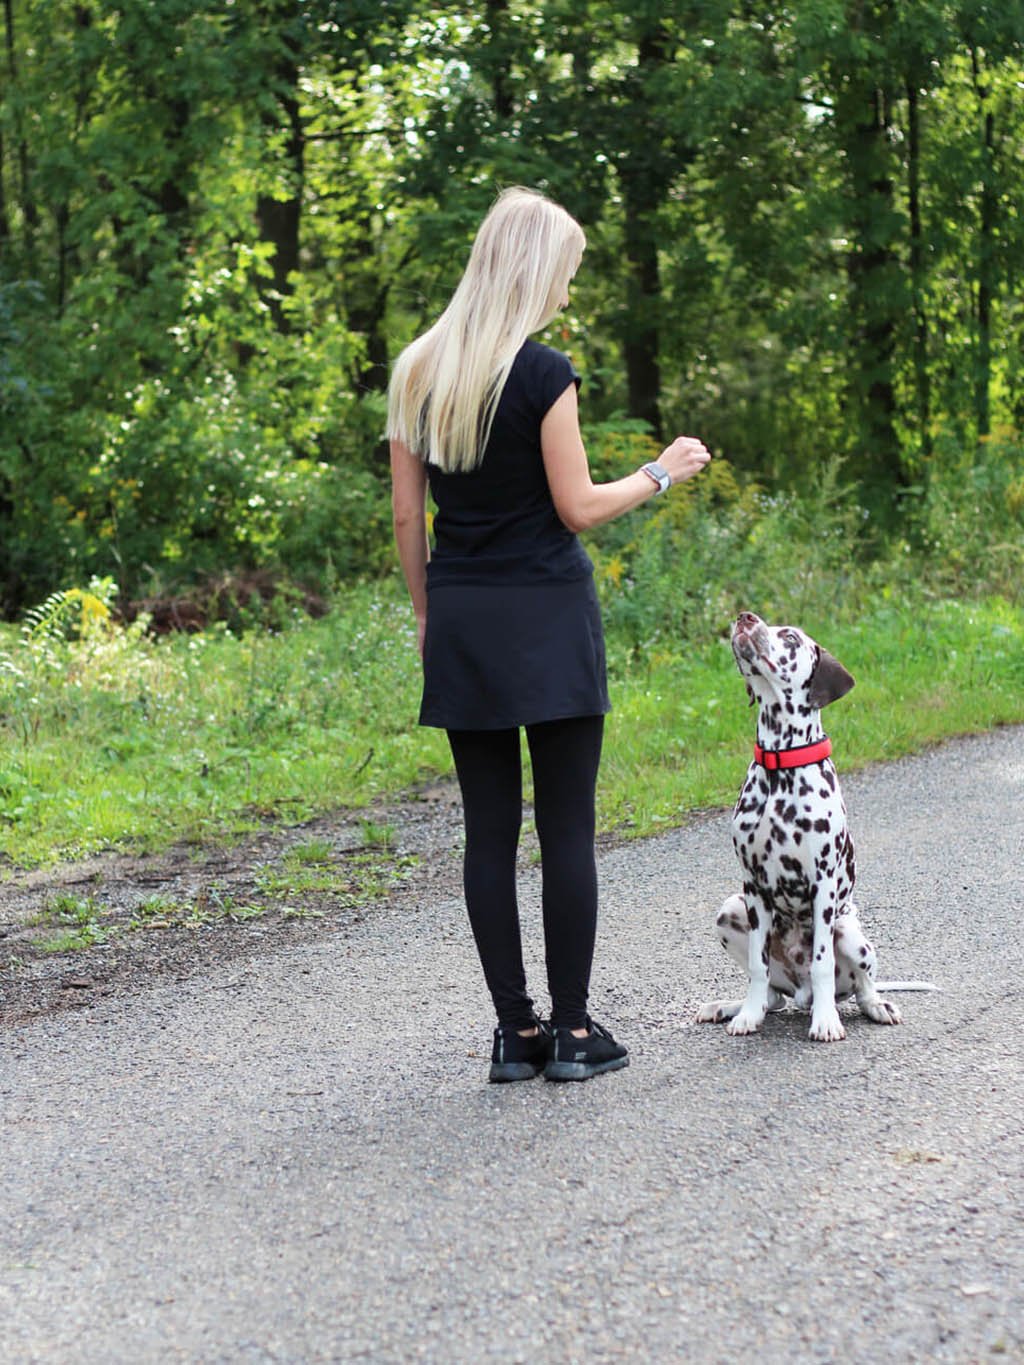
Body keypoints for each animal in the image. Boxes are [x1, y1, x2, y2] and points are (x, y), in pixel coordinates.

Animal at [699, 614, 906, 1037]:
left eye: (791, 637)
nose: (745, 617)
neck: (780, 766)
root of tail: (800, 991)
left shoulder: (822, 883)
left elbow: (823, 962)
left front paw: (825, 1021)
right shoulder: (753, 887)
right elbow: (758, 967)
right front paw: (747, 1015)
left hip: (850, 932)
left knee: (862, 986)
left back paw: (874, 1005)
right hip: (730, 909)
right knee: (771, 995)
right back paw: (732, 1006)